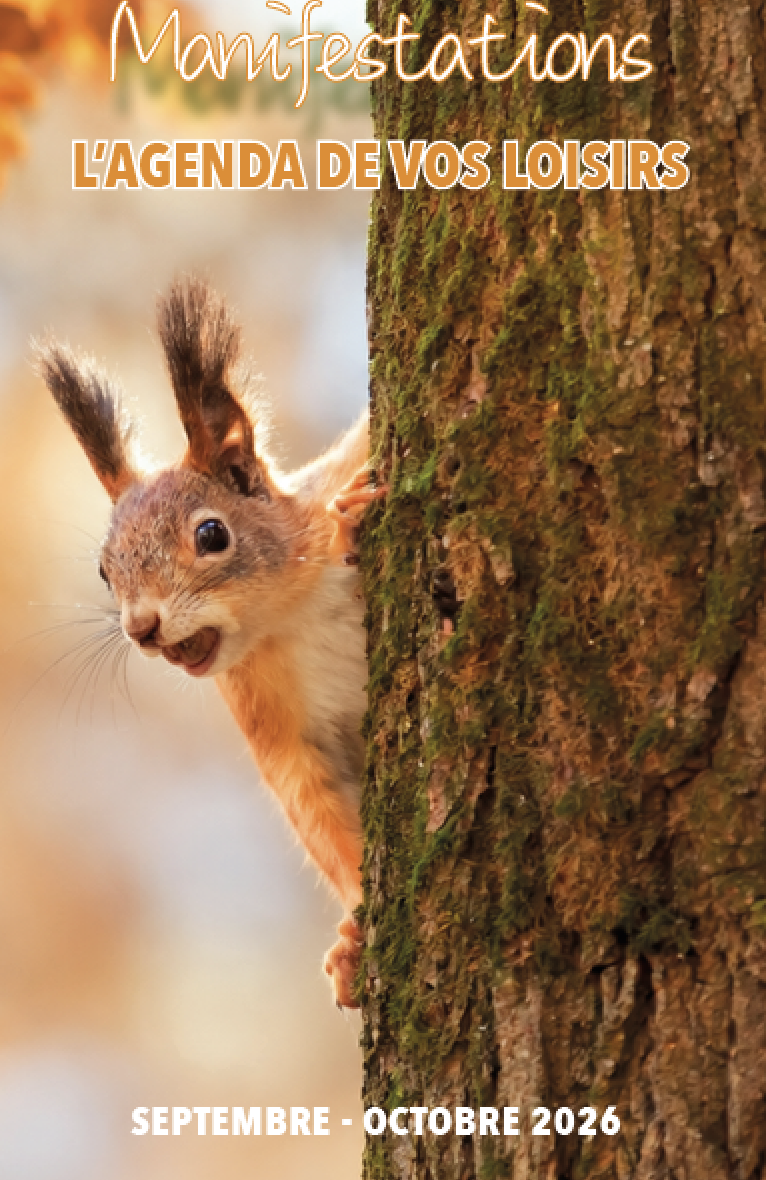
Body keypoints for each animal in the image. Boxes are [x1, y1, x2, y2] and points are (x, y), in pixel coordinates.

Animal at [36, 278, 386, 1009]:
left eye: (211, 535)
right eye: (104, 571)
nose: (142, 627)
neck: (289, 614)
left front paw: (350, 524)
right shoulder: (278, 725)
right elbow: (318, 811)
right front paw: (353, 937)